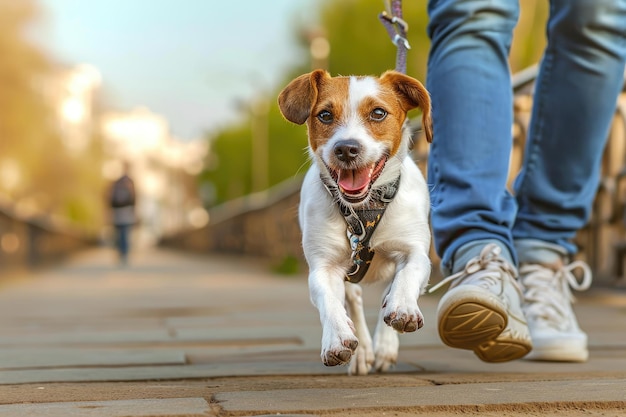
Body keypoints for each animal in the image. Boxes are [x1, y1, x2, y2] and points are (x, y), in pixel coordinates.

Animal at [276, 70, 428, 376]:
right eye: (324, 115)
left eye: (378, 113)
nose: (346, 148)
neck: (364, 210)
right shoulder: (324, 266)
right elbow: (330, 302)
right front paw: (337, 338)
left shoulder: (415, 249)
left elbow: (409, 273)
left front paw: (403, 308)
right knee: (354, 300)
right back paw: (364, 352)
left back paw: (385, 342)